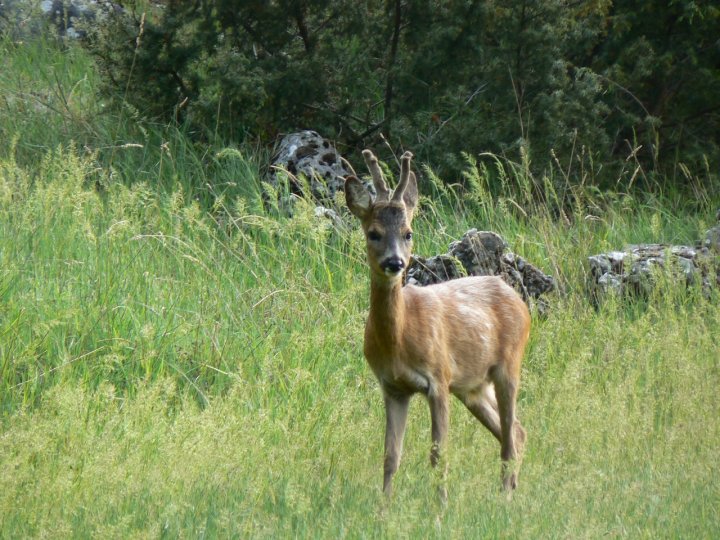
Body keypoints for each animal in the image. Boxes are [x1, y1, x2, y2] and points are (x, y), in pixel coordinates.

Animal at [344, 150, 528, 496]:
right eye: (373, 233)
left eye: (408, 233)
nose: (394, 262)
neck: (399, 338)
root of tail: (518, 300)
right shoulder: (392, 387)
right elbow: (391, 456)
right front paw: (383, 507)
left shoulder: (438, 378)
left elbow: (438, 456)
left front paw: (439, 508)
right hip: (472, 386)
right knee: (516, 433)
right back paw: (509, 491)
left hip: (509, 366)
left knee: (510, 439)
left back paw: (504, 499)